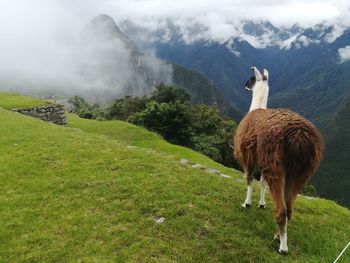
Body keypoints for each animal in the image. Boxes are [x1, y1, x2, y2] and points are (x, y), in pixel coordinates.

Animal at [234, 67, 324, 255]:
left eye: (251, 79)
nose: (245, 85)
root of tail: (299, 137)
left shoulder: (249, 156)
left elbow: (249, 179)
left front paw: (247, 203)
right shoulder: (263, 162)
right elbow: (262, 183)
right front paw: (261, 204)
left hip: (276, 162)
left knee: (282, 209)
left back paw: (283, 247)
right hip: (301, 170)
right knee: (289, 208)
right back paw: (279, 236)